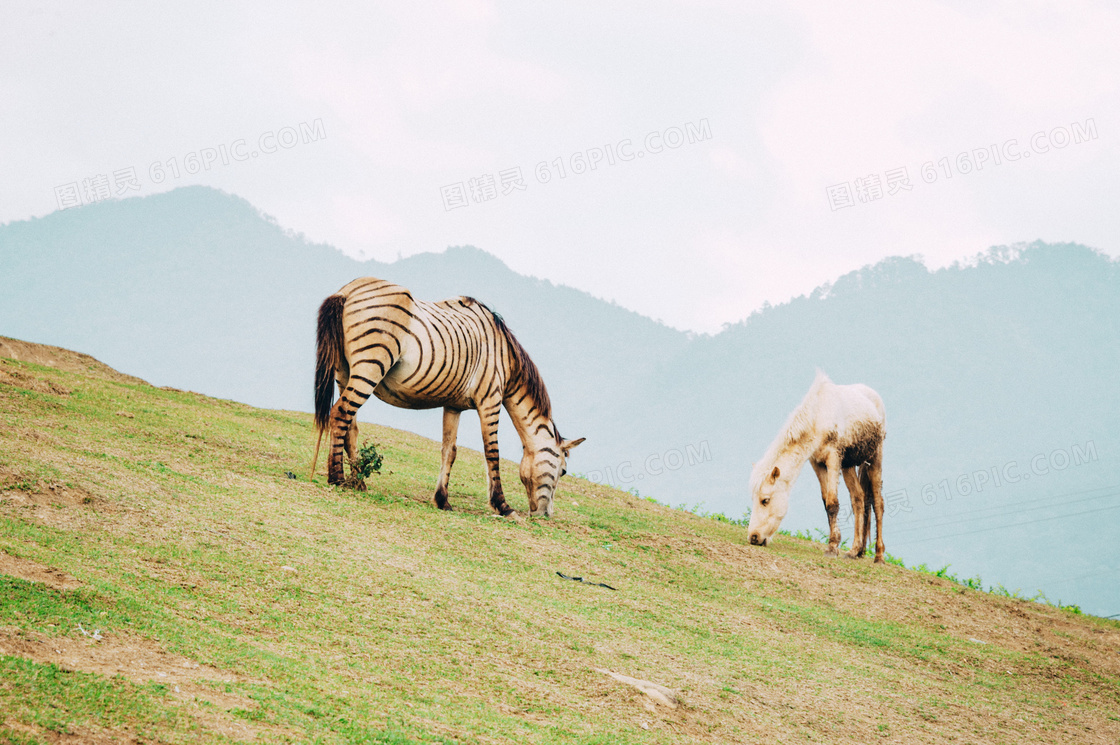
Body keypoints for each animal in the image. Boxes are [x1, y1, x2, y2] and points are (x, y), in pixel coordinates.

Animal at [311, 275, 582, 515]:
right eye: (563, 471)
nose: (546, 516)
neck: (505, 357)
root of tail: (348, 291)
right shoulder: (491, 400)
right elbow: (492, 453)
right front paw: (502, 506)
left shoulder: (454, 406)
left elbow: (449, 451)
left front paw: (442, 500)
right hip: (370, 365)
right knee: (341, 413)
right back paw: (337, 477)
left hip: (344, 371)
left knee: (350, 426)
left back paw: (357, 481)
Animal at [748, 374, 887, 560]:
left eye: (765, 500)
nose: (753, 537)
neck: (818, 417)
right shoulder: (817, 463)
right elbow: (826, 502)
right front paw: (834, 544)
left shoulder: (833, 459)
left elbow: (832, 503)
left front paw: (832, 547)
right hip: (848, 465)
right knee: (858, 498)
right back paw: (855, 551)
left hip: (875, 458)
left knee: (878, 504)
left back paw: (879, 556)